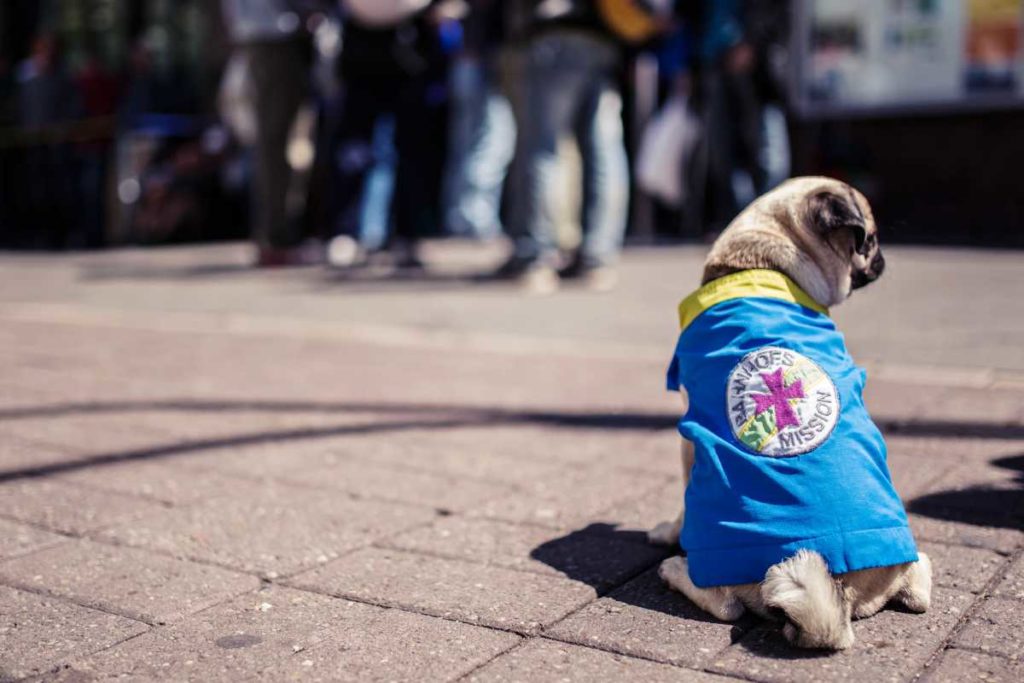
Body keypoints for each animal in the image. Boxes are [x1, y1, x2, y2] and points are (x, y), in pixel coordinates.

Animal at [651, 176, 933, 651]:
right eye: (870, 239)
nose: (881, 258)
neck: (764, 263)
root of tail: (837, 595)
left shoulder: (689, 437)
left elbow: (680, 506)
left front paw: (667, 532)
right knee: (918, 590)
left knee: (725, 604)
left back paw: (675, 569)